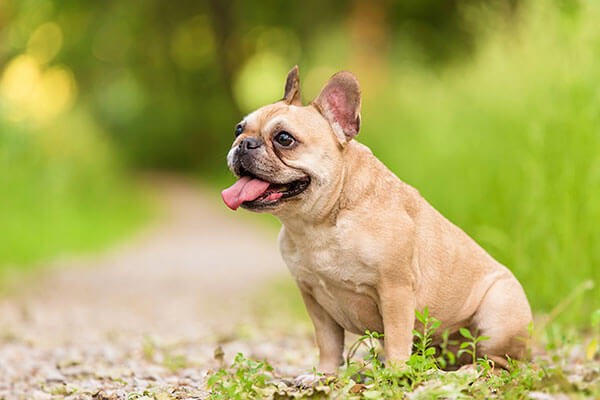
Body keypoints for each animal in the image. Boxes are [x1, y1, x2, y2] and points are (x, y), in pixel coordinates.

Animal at [223, 65, 532, 382]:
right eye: (238, 129)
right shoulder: (314, 299)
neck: (319, 223)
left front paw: (395, 374)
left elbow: (396, 337)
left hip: (498, 313)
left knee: (501, 363)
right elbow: (328, 342)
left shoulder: (395, 289)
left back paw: (468, 371)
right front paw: (323, 375)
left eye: (284, 139)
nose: (244, 143)